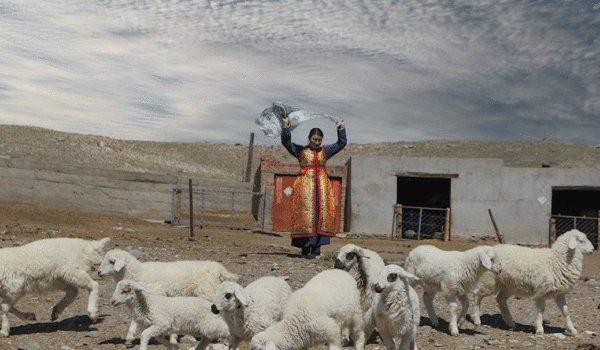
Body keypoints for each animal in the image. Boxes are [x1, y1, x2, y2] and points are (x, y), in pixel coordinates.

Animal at [98, 249, 239, 344]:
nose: (98, 272)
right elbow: (135, 316)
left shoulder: (155, 294)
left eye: (112, 261)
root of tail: (219, 268)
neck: (139, 272)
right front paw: (130, 336)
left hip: (207, 291)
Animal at [468, 228, 596, 334]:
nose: (593, 249)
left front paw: (572, 330)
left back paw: (510, 323)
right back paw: (476, 319)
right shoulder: (541, 290)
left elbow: (566, 311)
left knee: (500, 299)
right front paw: (539, 329)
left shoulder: (560, 293)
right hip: (490, 281)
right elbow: (541, 309)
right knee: (476, 295)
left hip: (509, 286)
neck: (557, 259)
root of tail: (491, 248)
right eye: (581, 241)